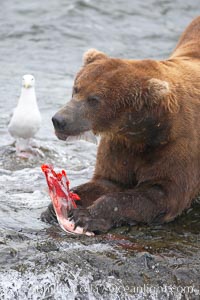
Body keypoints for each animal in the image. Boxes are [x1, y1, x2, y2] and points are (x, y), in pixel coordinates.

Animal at [41, 15, 200, 232]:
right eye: (76, 88)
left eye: (94, 99)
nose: (59, 120)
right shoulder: (120, 144)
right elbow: (107, 181)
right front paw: (55, 207)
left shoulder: (179, 145)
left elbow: (161, 192)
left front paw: (87, 216)